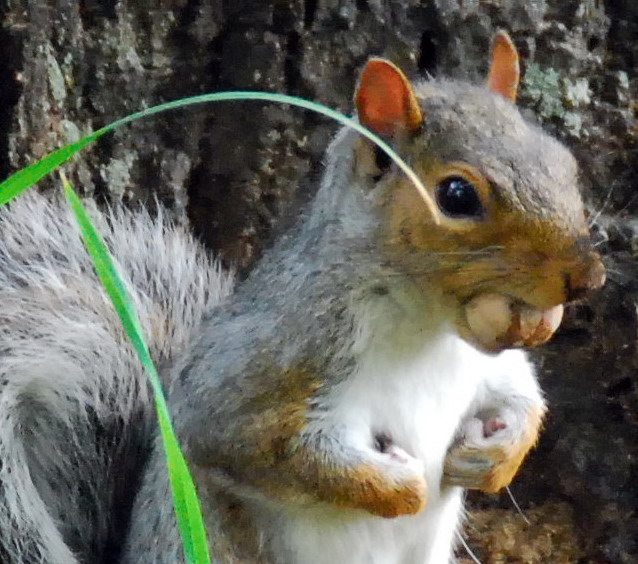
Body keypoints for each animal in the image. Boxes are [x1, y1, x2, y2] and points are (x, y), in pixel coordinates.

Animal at [0, 32, 604, 564]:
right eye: (456, 195)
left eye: (564, 162)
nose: (586, 278)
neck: (429, 330)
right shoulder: (275, 358)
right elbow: (247, 442)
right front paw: (399, 486)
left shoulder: (486, 367)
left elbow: (522, 396)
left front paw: (493, 458)